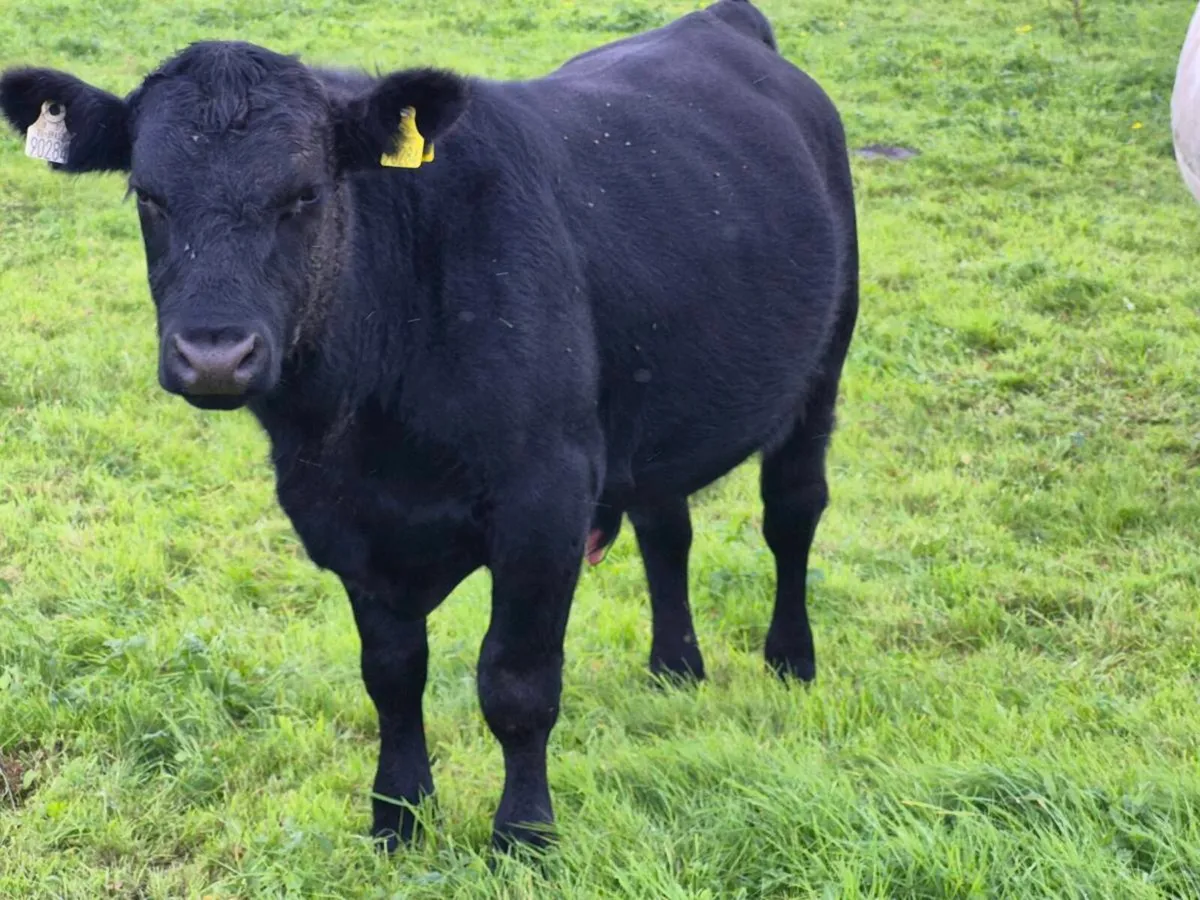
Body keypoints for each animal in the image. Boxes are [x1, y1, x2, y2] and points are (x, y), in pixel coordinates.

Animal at [1, 0, 858, 851]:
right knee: (665, 529)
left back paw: (791, 659)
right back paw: (675, 666)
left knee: (792, 513)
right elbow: (391, 674)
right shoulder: (342, 518)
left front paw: (524, 832)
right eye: (148, 195)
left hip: (822, 369)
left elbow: (516, 681)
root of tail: (718, 22)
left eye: (305, 194)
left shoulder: (545, 499)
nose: (214, 355)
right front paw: (399, 814)